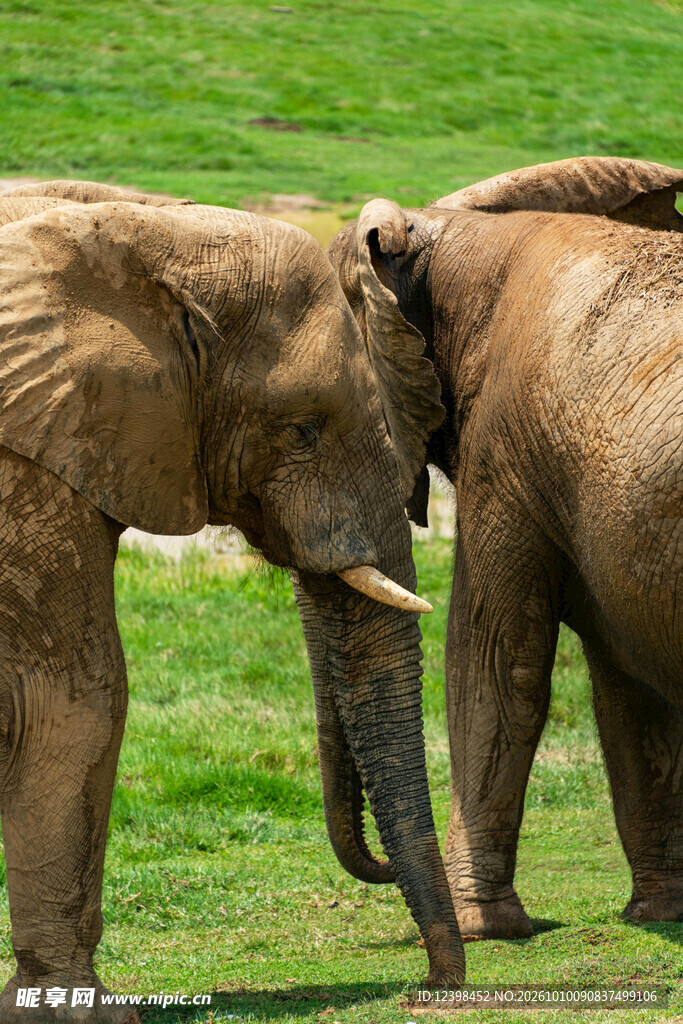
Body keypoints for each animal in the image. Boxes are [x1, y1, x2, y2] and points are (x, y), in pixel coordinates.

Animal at [0, 179, 464, 1022]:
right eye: (302, 430)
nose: (436, 985)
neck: (145, 226)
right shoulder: (25, 461)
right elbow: (75, 695)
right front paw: (77, 1007)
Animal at [327, 156, 683, 942]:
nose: (380, 870)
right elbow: (629, 695)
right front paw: (659, 913)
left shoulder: (507, 453)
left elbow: (495, 662)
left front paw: (478, 927)